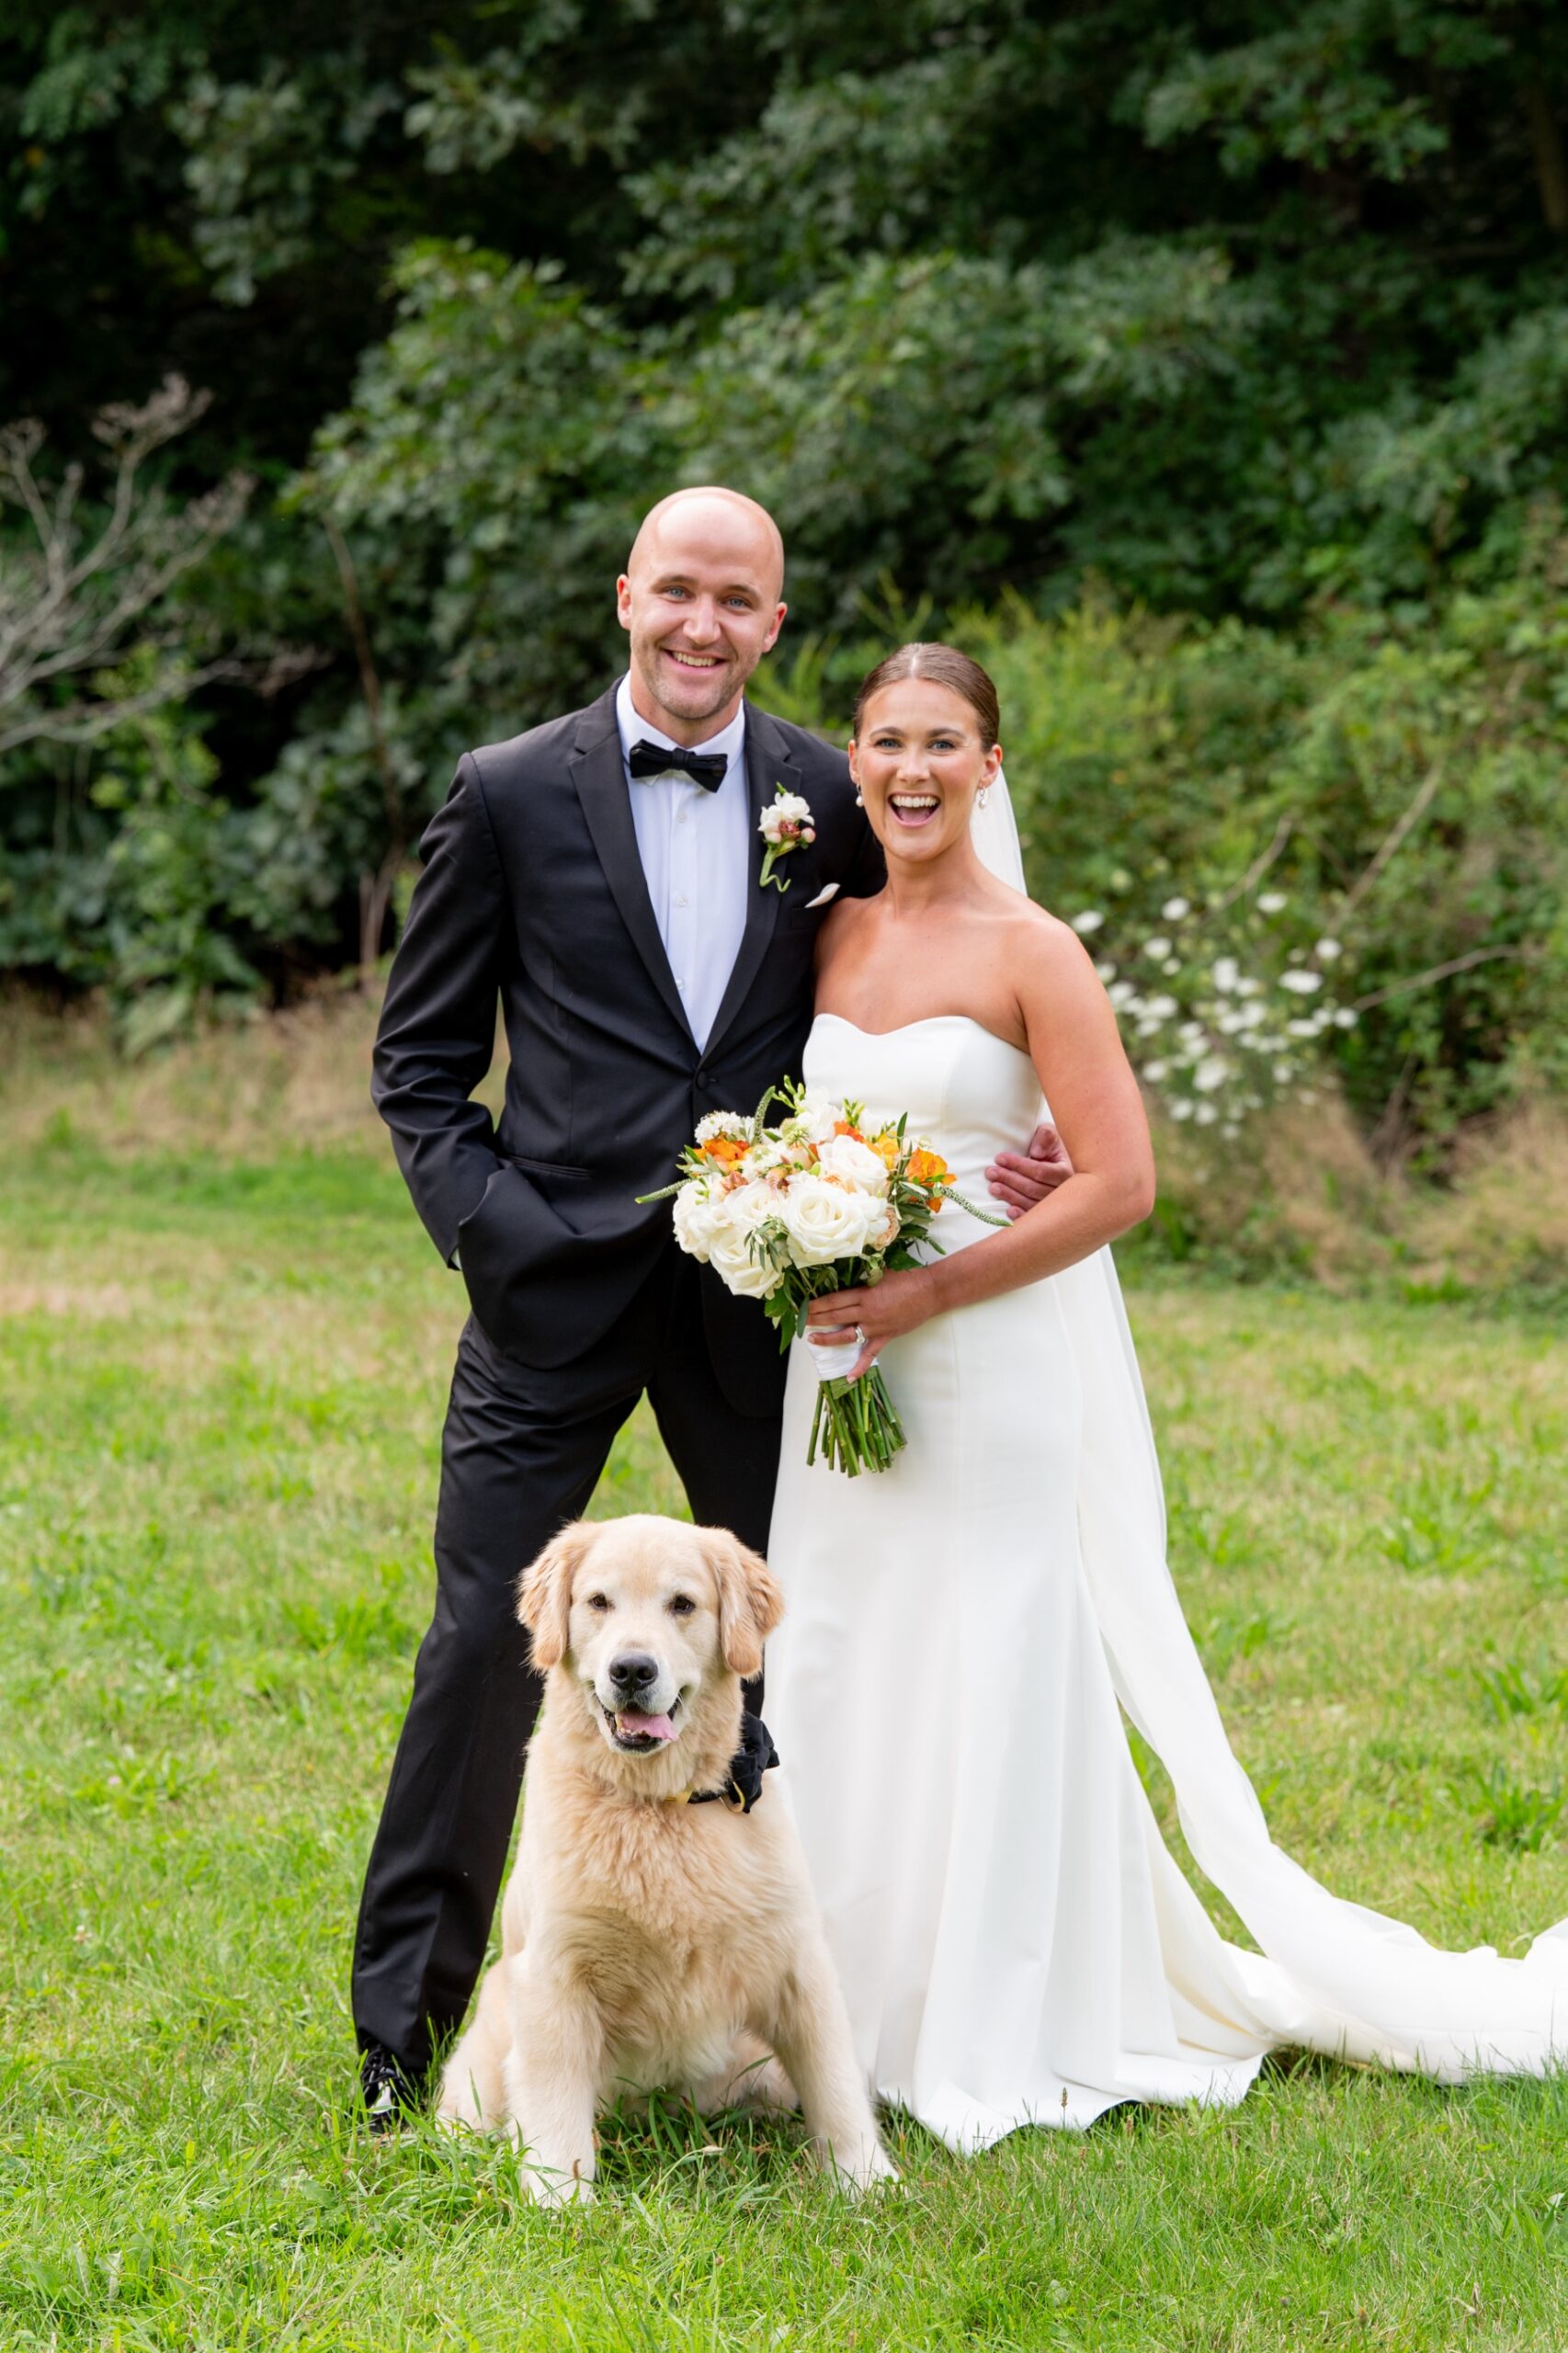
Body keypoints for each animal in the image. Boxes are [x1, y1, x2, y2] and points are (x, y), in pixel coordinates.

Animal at [433, 1515, 890, 2192]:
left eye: (682, 1605)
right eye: (599, 1602)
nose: (631, 1670)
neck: (658, 1806)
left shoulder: (797, 1962)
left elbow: (834, 2080)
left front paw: (867, 2181)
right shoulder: (556, 1971)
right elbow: (553, 2099)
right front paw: (558, 2195)